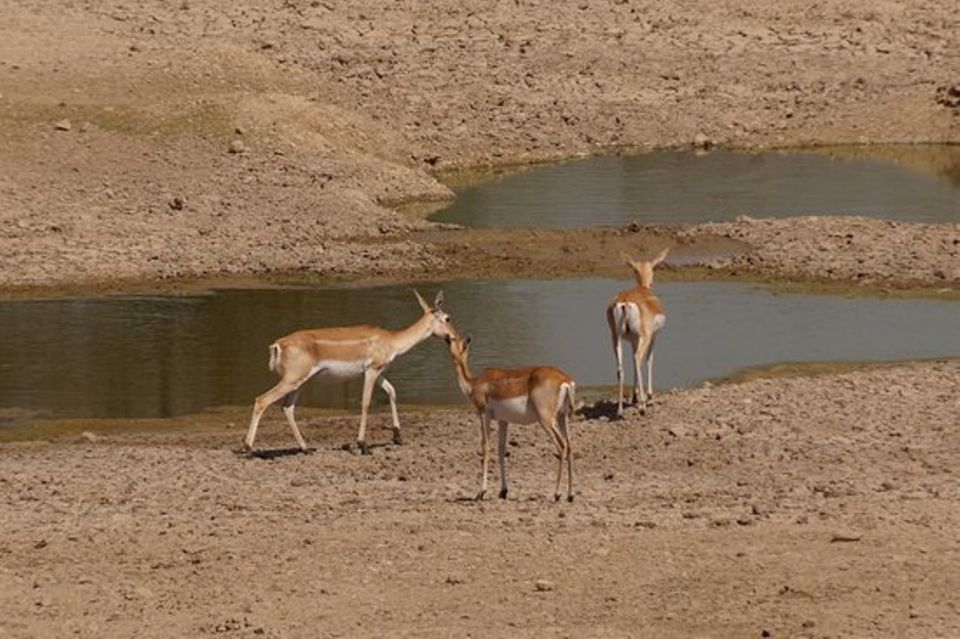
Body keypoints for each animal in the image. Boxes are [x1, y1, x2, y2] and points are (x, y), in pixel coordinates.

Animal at [246, 290, 460, 456]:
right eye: (448, 318)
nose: (455, 337)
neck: (391, 340)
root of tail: (278, 344)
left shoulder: (378, 372)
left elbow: (392, 391)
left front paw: (398, 437)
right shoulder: (371, 371)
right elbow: (365, 403)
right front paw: (363, 445)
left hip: (300, 382)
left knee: (287, 407)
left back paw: (306, 448)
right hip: (292, 380)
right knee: (262, 400)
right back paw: (248, 447)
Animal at [444, 336, 576, 504]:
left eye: (453, 340)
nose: (447, 338)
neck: (474, 383)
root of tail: (565, 380)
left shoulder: (484, 414)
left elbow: (485, 447)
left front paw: (481, 492)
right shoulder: (503, 421)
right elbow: (501, 450)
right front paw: (503, 491)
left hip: (546, 420)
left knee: (561, 445)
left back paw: (556, 494)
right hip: (562, 417)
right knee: (570, 446)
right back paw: (570, 495)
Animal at [608, 248, 668, 418]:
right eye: (654, 267)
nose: (652, 282)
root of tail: (625, 302)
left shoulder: (633, 339)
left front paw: (634, 396)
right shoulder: (652, 337)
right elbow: (649, 359)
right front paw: (649, 396)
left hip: (615, 338)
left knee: (621, 367)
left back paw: (620, 411)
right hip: (644, 338)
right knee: (638, 358)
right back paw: (643, 407)